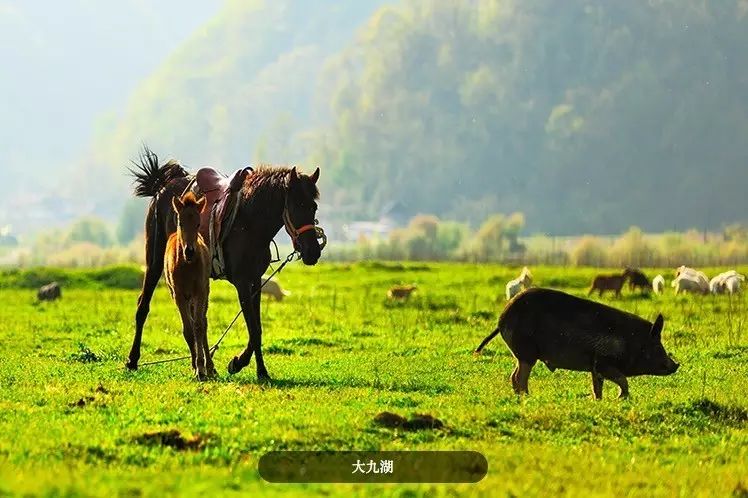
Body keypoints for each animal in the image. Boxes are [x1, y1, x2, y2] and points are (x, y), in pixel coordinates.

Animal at [165, 193, 215, 380]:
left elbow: (199, 326)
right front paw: (194, 366)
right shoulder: (178, 295)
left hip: (202, 295)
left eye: (198, 223)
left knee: (203, 323)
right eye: (181, 222)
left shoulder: (200, 292)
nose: (190, 251)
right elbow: (188, 330)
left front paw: (201, 368)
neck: (186, 264)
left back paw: (210, 367)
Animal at [476, 288, 680, 396]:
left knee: (513, 375)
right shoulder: (603, 361)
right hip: (527, 352)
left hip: (521, 354)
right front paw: (622, 398)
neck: (631, 342)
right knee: (519, 376)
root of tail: (501, 319)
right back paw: (528, 396)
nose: (676, 365)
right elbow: (622, 380)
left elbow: (597, 387)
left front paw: (598, 401)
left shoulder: (595, 366)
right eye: (657, 346)